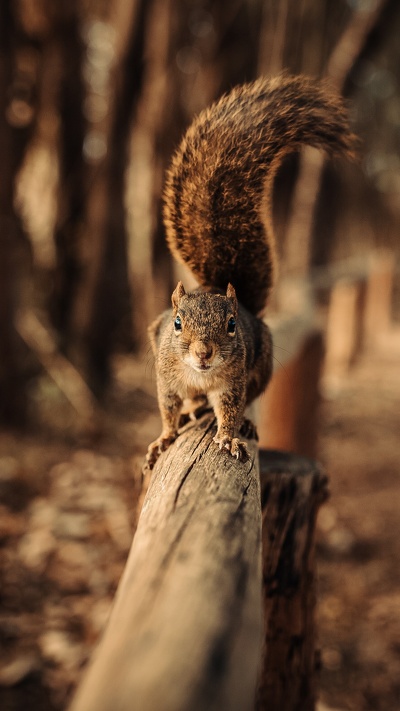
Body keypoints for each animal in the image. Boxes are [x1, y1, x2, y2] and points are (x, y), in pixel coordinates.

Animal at [143, 73, 354, 472]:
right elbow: (168, 409)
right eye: (177, 323)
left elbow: (229, 410)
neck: (200, 375)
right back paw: (193, 409)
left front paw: (228, 437)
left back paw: (245, 424)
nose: (204, 353)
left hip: (262, 364)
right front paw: (163, 438)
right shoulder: (167, 378)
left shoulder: (233, 382)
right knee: (190, 404)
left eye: (231, 324)